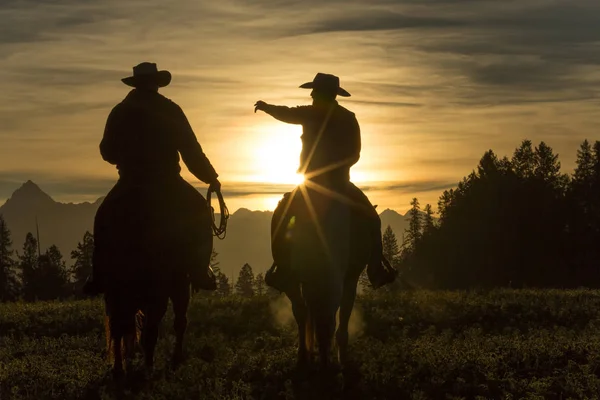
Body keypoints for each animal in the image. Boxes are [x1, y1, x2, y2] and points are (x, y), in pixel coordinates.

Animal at [95, 180, 214, 380]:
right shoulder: (178, 286)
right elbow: (178, 322)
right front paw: (175, 359)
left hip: (115, 289)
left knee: (119, 327)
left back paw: (119, 369)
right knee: (147, 329)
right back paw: (146, 368)